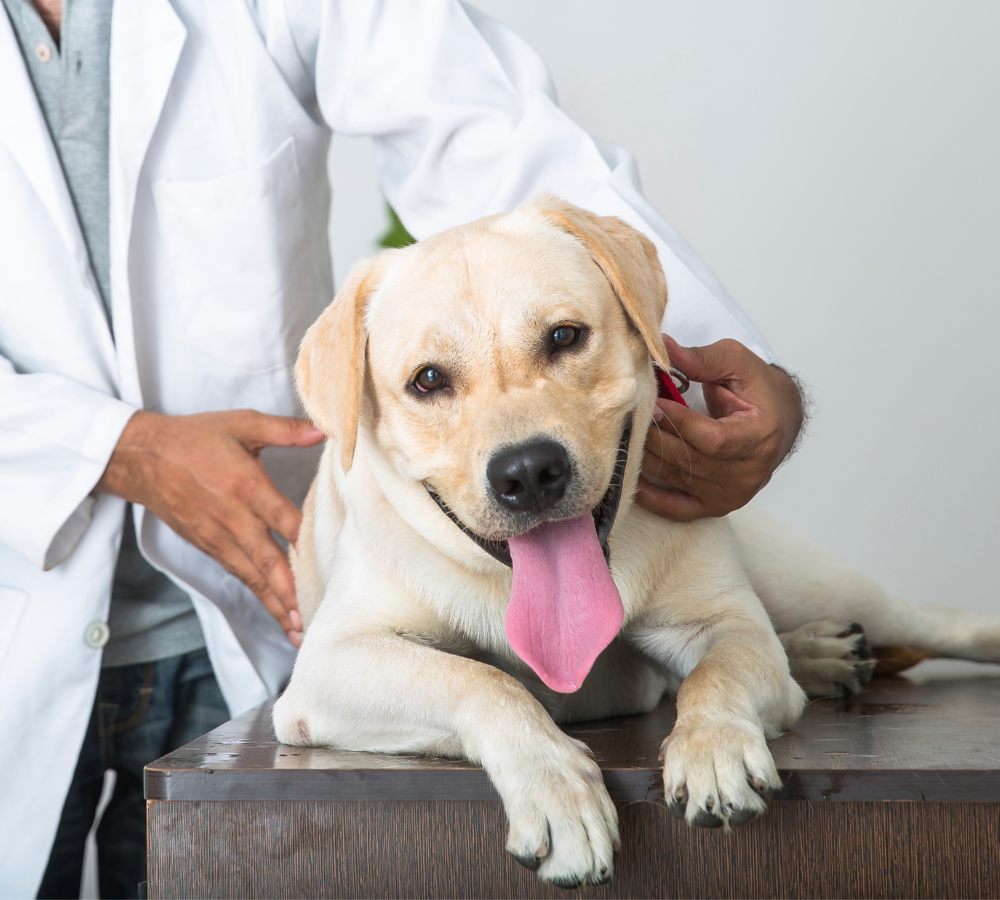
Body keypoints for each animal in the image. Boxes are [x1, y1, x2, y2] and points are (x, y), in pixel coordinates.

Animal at [274, 195, 1000, 884]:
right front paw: (556, 790)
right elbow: (483, 682)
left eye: (565, 337)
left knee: (928, 619)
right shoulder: (331, 664)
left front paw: (713, 749)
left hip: (814, 583)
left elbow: (716, 674)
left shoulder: (724, 622)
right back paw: (822, 654)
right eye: (428, 380)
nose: (528, 472)